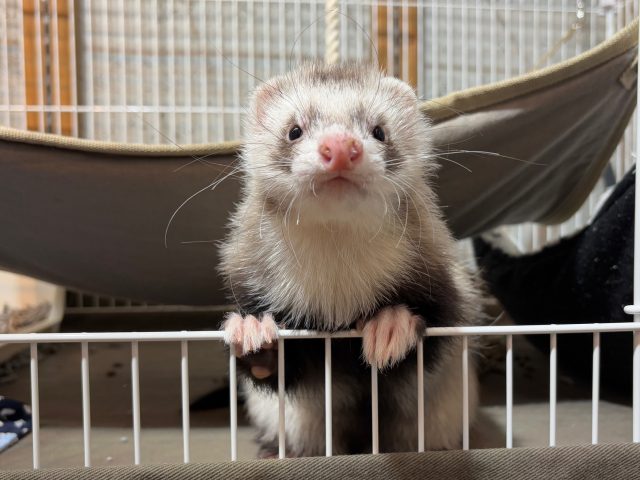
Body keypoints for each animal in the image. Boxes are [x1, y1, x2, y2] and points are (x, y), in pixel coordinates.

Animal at [219, 62, 480, 457]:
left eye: (380, 131)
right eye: (294, 130)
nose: (341, 146)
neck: (337, 283)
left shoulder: (444, 282)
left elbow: (434, 343)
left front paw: (391, 323)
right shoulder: (250, 280)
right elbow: (274, 371)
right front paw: (254, 332)